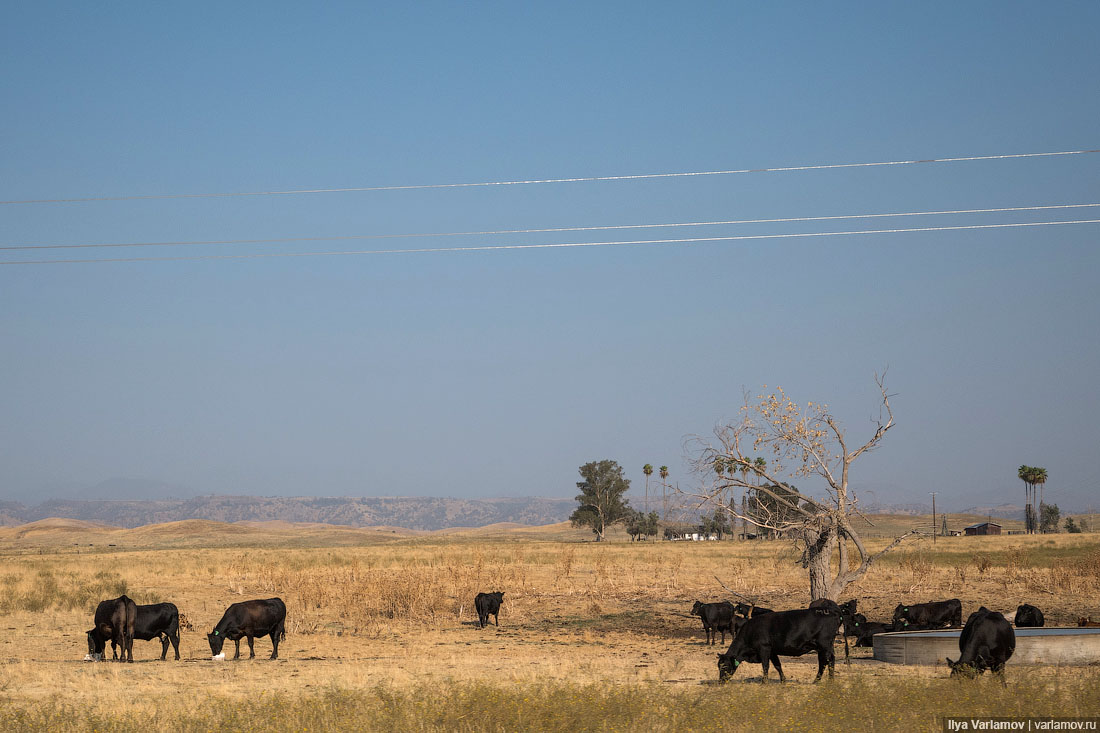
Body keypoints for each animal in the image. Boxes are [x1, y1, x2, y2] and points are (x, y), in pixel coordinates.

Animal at [712, 603, 840, 682]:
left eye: (725, 666)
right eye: (718, 666)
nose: (720, 681)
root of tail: (833, 613)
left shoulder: (764, 648)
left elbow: (765, 666)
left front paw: (764, 682)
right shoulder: (772, 651)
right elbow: (778, 665)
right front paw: (783, 680)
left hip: (824, 645)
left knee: (826, 662)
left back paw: (820, 681)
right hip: (824, 647)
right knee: (828, 661)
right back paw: (829, 680)